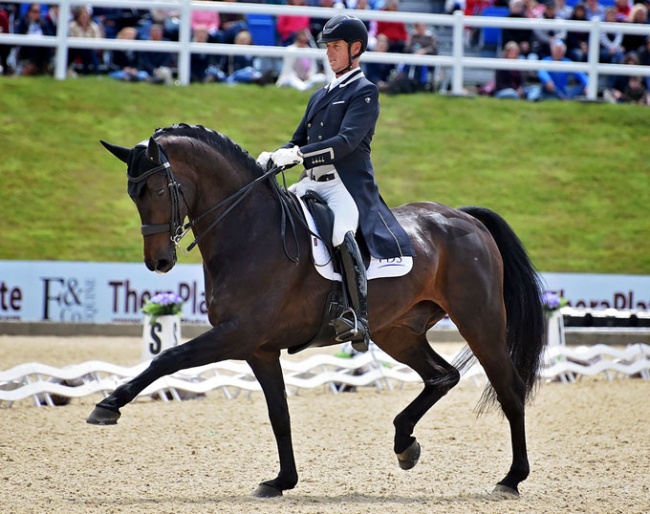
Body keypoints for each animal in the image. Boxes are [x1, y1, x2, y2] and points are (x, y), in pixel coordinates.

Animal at [90, 123, 548, 496]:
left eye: (158, 190)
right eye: (133, 194)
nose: (158, 262)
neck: (249, 232)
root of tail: (466, 219)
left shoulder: (236, 334)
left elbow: (166, 357)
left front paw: (109, 405)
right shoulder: (258, 349)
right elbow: (279, 415)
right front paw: (281, 481)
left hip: (480, 322)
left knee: (509, 389)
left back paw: (511, 479)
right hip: (398, 331)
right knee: (442, 376)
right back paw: (405, 444)